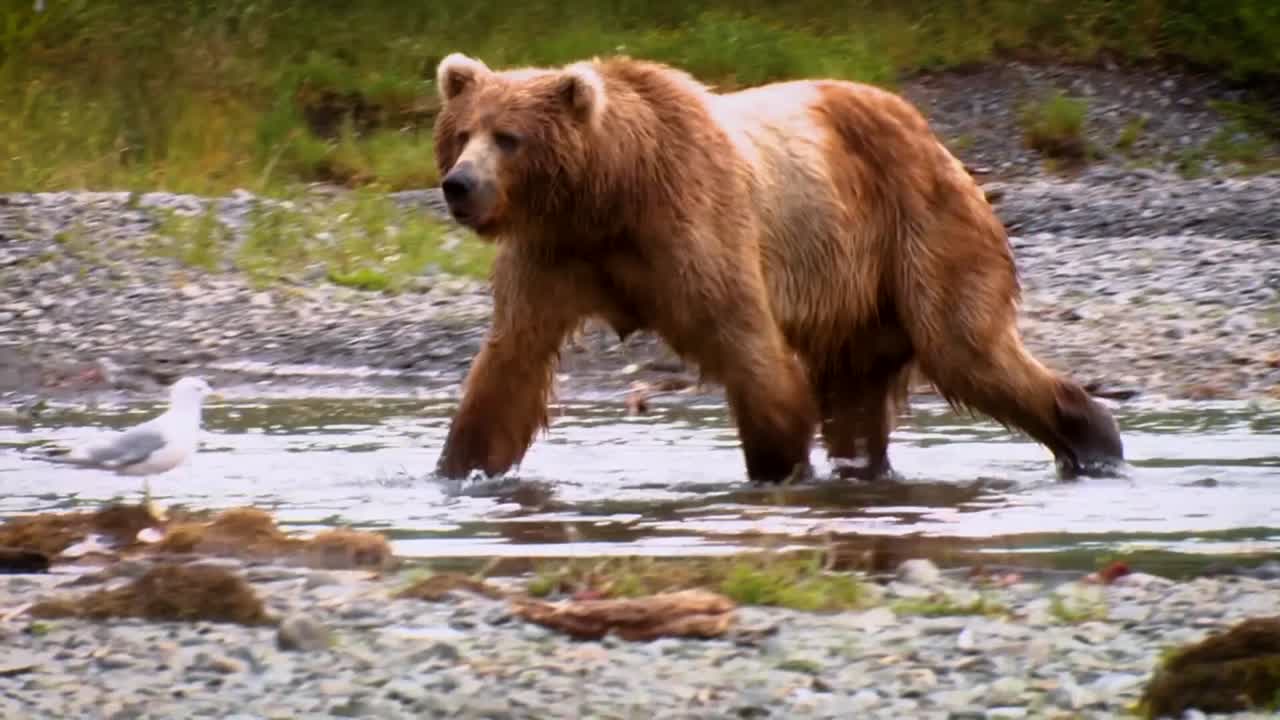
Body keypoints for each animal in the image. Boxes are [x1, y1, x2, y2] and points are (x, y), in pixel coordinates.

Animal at [429, 51, 1125, 485]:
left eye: (509, 138)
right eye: (461, 132)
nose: (459, 185)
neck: (609, 193)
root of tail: (931, 134)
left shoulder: (692, 229)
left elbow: (751, 350)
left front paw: (779, 468)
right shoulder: (555, 253)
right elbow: (510, 363)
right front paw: (459, 470)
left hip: (919, 231)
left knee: (966, 347)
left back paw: (1095, 441)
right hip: (859, 296)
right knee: (857, 396)